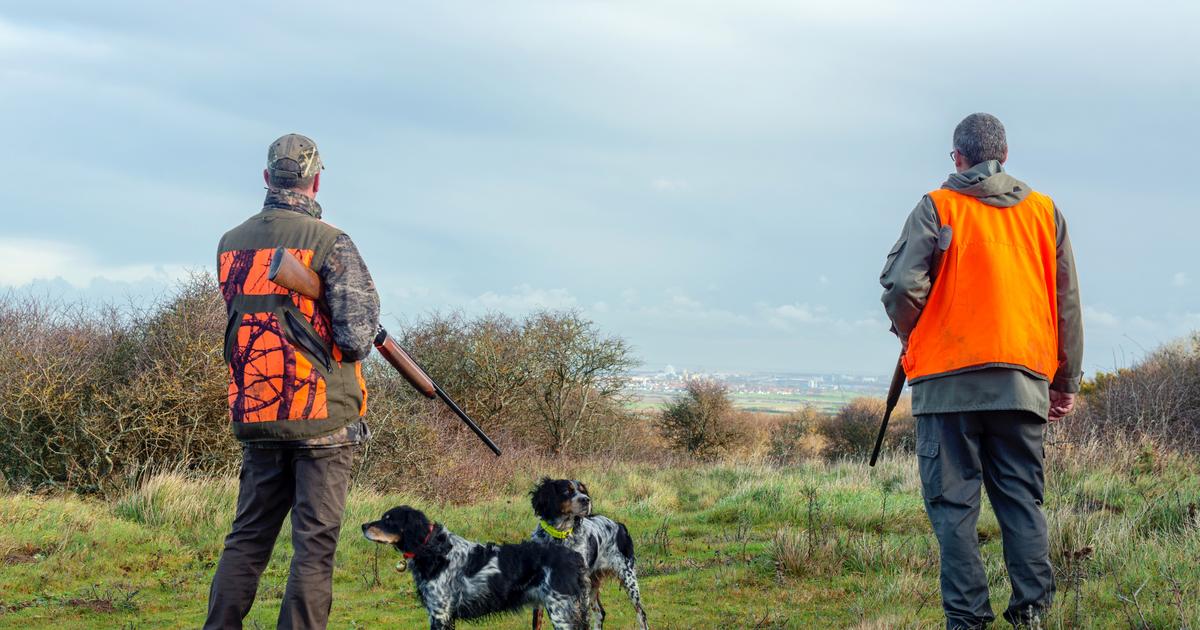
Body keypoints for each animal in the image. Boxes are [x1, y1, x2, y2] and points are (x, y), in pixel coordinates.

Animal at [364, 506, 590, 628]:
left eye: (389, 519)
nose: (363, 526)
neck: (434, 549)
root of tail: (575, 557)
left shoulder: (440, 614)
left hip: (561, 611)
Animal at [532, 480, 652, 624]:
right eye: (567, 491)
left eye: (583, 491)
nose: (586, 500)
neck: (559, 536)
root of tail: (619, 525)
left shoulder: (580, 586)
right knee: (600, 613)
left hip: (628, 578)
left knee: (641, 614)